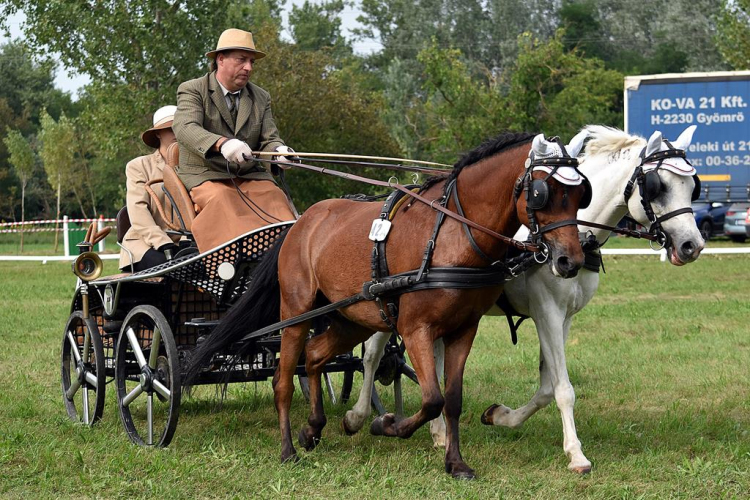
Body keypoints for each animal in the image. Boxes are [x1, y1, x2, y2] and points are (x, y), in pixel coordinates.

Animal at [185, 131, 592, 478]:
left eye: (580, 195)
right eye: (542, 192)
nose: (570, 261)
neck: (452, 233)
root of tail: (301, 223)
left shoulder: (464, 329)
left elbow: (452, 399)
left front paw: (456, 463)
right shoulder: (416, 329)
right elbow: (432, 399)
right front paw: (387, 424)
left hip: (351, 318)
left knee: (315, 356)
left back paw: (313, 428)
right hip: (296, 312)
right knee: (283, 379)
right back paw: (288, 449)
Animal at [344, 124, 708, 472]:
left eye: (692, 186)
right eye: (657, 186)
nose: (693, 245)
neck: (576, 233)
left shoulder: (564, 318)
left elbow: (547, 387)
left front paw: (500, 416)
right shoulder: (546, 312)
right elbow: (563, 389)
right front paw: (576, 455)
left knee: (431, 359)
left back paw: (438, 433)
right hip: (388, 305)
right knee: (373, 356)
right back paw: (357, 416)